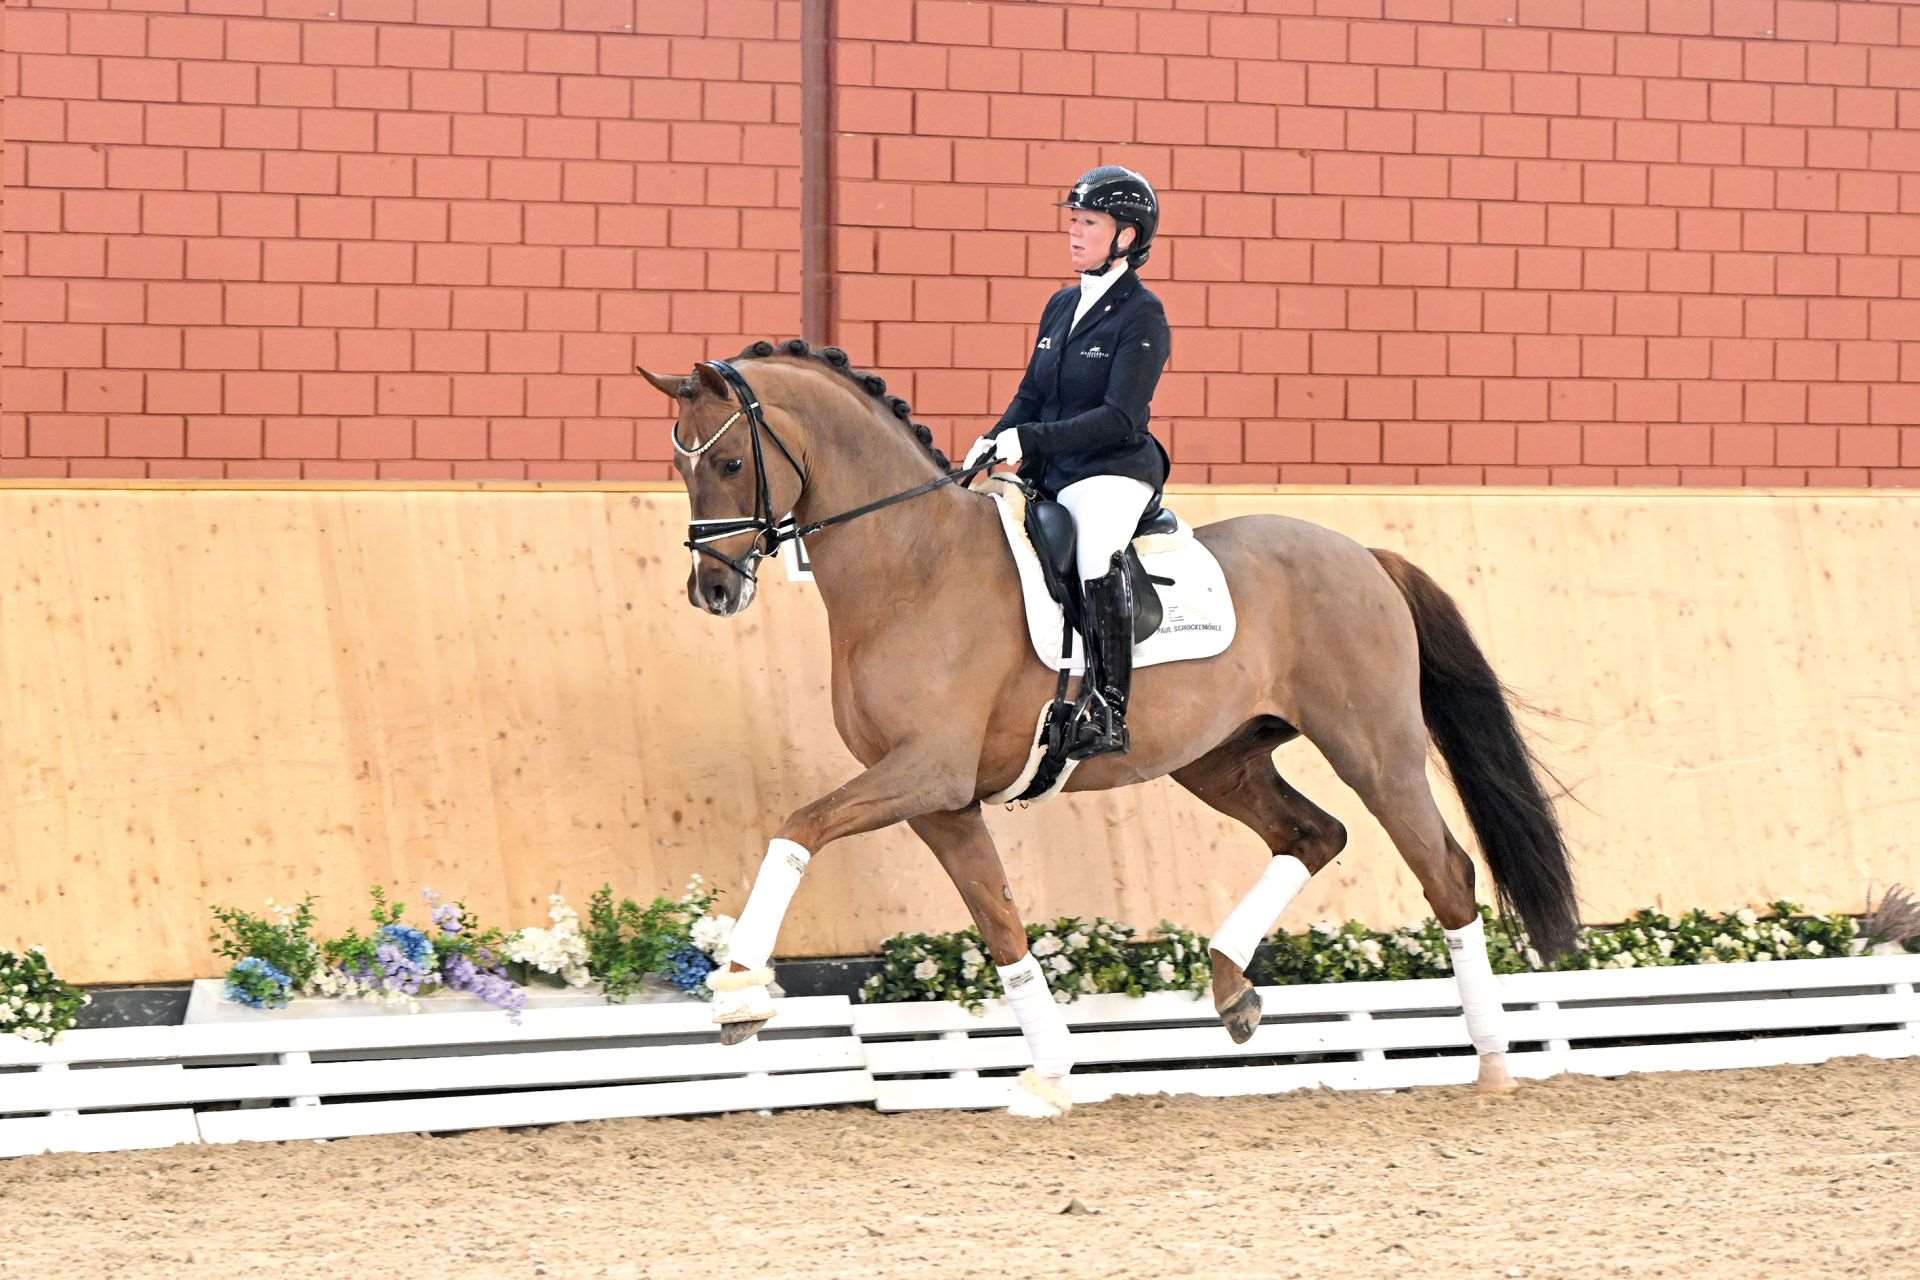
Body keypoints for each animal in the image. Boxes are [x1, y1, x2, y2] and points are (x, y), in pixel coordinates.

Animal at [638, 338, 1578, 1116]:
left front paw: (738, 991)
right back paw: (1232, 987)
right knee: (1316, 835)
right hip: (1220, 761)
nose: (712, 592)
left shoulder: (927, 772)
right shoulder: (941, 802)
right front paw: (1051, 1072)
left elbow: (798, 827)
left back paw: (1494, 1061)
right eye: (681, 467)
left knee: (1444, 871)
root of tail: (1362, 556)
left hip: (1373, 751)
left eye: (730, 460)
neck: (910, 566)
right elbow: (1001, 925)